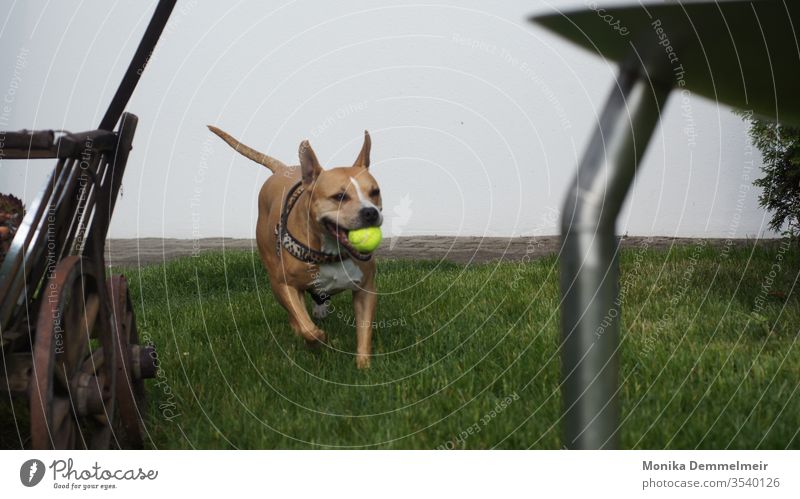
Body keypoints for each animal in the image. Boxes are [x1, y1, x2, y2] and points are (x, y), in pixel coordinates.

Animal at [206, 126, 382, 368]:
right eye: (339, 196)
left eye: (375, 192)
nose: (370, 212)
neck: (330, 251)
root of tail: (282, 169)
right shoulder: (284, 285)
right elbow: (306, 326)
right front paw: (317, 338)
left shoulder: (365, 289)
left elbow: (364, 330)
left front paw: (363, 366)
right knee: (295, 315)